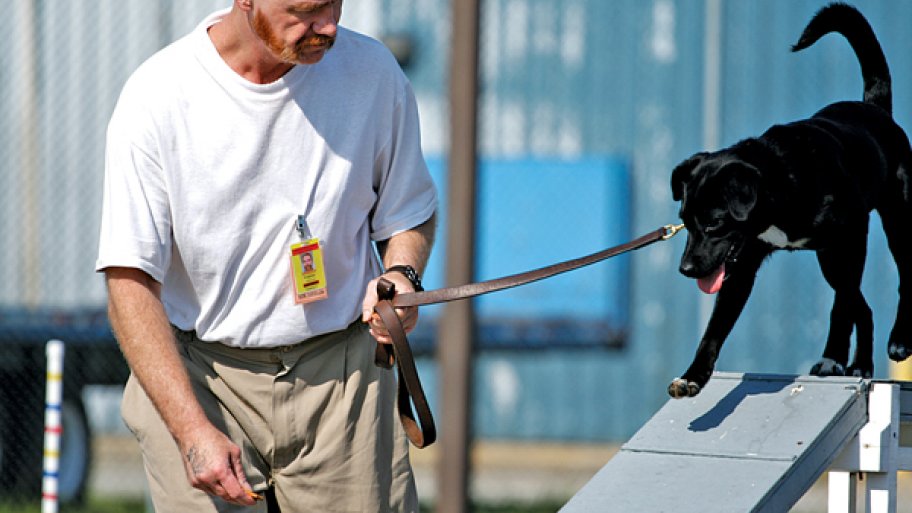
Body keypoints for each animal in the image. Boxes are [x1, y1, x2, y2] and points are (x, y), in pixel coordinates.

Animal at [668, 2, 908, 398]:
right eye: (685, 222)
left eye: (714, 223)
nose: (685, 270)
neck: (779, 179)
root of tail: (875, 108)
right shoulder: (741, 266)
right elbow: (715, 329)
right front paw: (693, 376)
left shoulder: (852, 236)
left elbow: (845, 303)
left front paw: (840, 358)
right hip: (830, 257)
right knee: (860, 303)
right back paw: (854, 363)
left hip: (888, 224)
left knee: (889, 282)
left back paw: (888, 344)